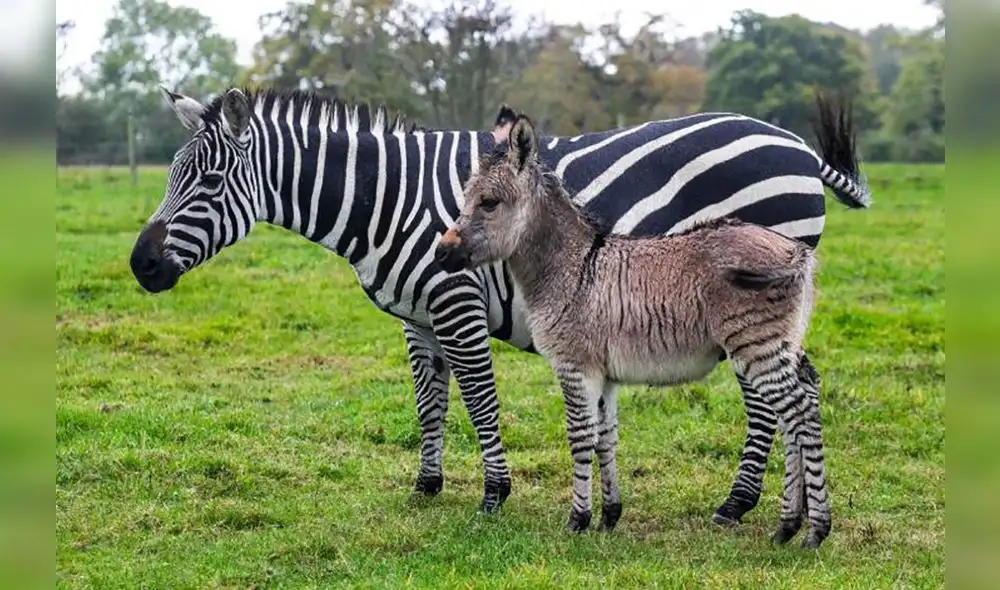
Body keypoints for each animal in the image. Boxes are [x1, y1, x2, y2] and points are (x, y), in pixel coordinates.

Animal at [129, 85, 871, 524]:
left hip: (748, 305)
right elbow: (429, 403)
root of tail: (793, 143)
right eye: (171, 177)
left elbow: (480, 400)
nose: (140, 265)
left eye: (210, 181)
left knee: (766, 399)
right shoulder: (418, 317)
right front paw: (427, 485)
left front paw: (494, 492)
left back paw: (737, 504)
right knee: (792, 388)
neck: (382, 199)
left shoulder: (455, 301)